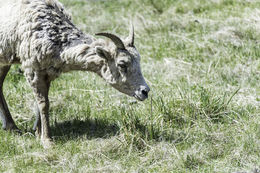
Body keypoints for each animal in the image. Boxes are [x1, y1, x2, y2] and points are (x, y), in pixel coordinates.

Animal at [0, 0, 150, 147]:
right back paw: (12, 127)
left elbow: (40, 105)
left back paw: (11, 127)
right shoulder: (32, 71)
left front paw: (38, 132)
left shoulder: (47, 75)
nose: (145, 91)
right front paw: (47, 140)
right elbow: (43, 104)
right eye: (122, 64)